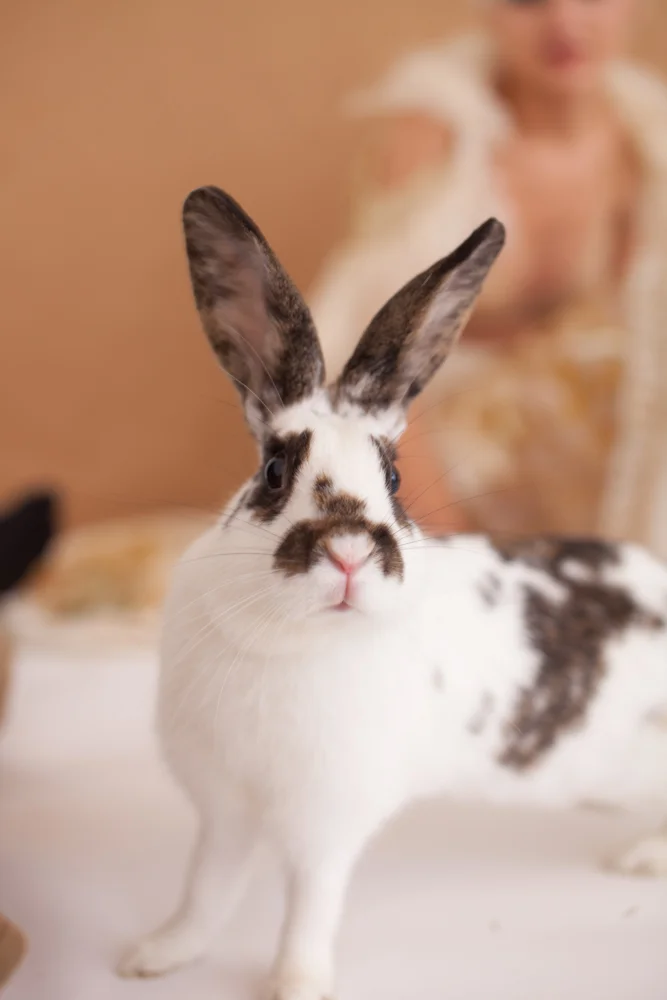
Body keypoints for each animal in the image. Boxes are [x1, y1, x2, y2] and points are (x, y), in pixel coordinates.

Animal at [118, 187, 667, 999]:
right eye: (274, 471)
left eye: (395, 478)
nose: (348, 552)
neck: (290, 639)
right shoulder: (225, 809)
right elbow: (205, 890)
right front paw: (154, 955)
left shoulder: (325, 820)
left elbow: (309, 907)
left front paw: (296, 984)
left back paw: (642, 858)